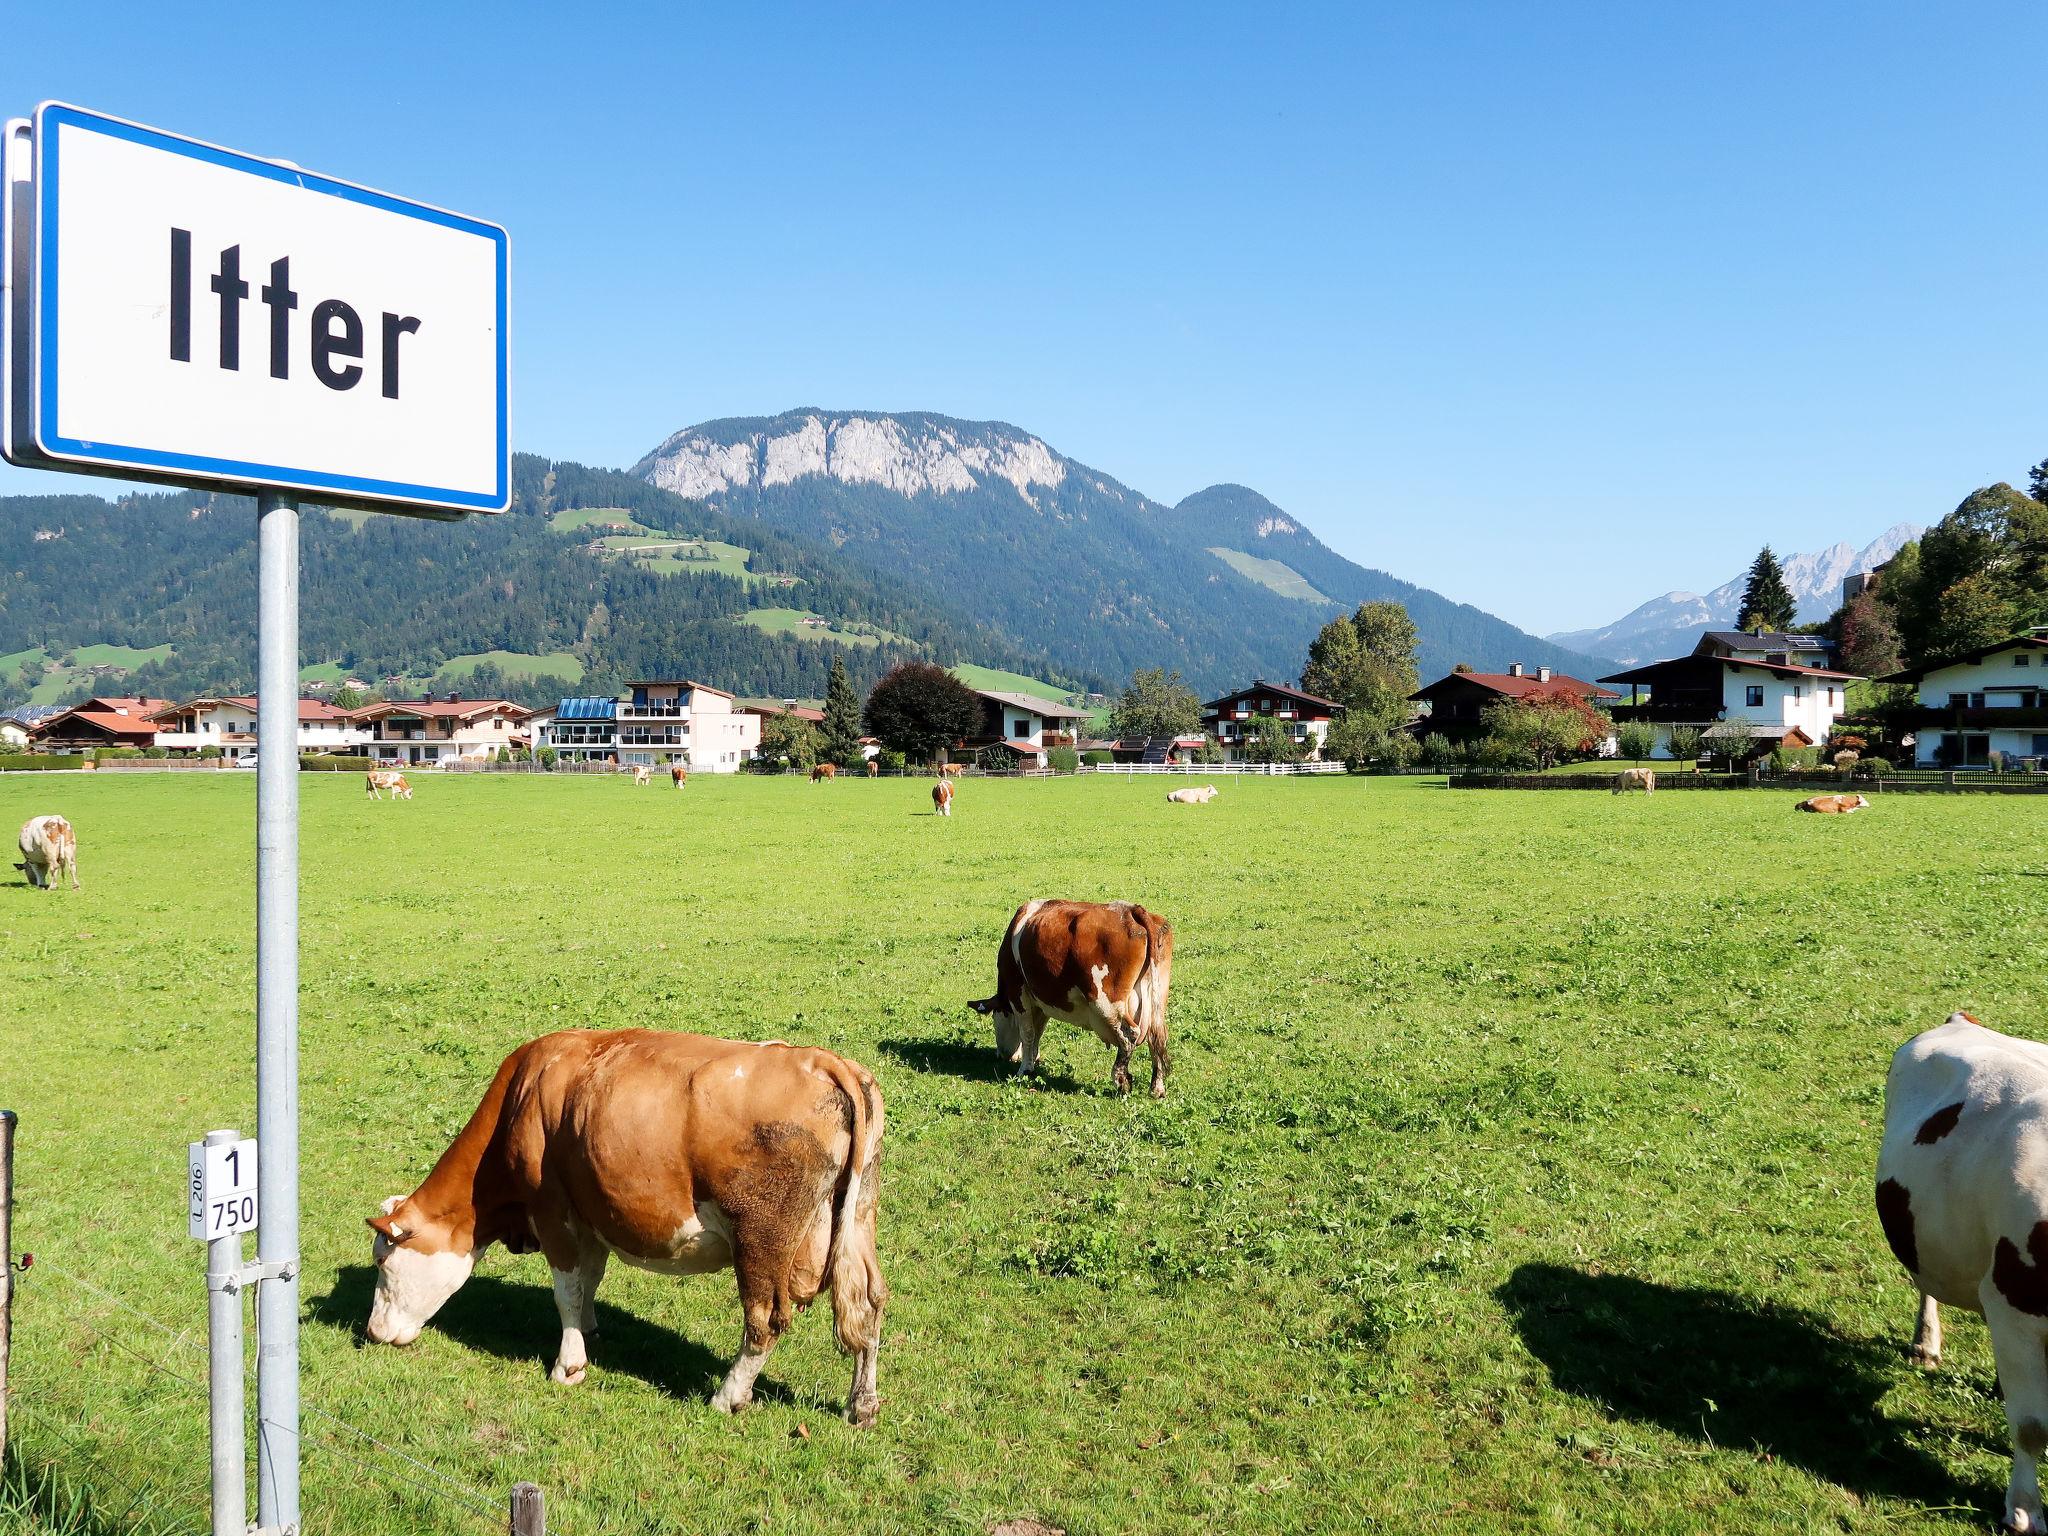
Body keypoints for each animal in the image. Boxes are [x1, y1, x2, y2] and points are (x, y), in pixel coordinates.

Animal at [364, 1036, 884, 1433]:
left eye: (383, 1262)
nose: (372, 1332)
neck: (523, 1095)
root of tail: (826, 1061)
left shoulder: (551, 1209)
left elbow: (567, 1290)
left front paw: (568, 1365)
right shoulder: (589, 1212)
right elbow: (589, 1280)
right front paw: (591, 1330)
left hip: (762, 1239)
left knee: (766, 1319)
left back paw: (727, 1395)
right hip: (858, 1219)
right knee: (869, 1303)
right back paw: (861, 1405)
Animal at [966, 897, 1179, 1097]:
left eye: (995, 1021)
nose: (1001, 1055)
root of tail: (1130, 910)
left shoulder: (1018, 993)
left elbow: (1028, 1033)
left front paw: (1024, 1069)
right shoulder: (1042, 1002)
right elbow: (1037, 1032)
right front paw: (1034, 1060)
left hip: (1106, 1002)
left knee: (1129, 1034)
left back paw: (1121, 1080)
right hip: (1157, 999)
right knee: (1157, 1037)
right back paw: (1157, 1088)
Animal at [1875, 1015, 2048, 1531]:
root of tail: (1963, 1019)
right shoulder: (2013, 1302)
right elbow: (2031, 1427)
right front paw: (2024, 1509)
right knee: (1926, 1282)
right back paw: (1925, 1343)